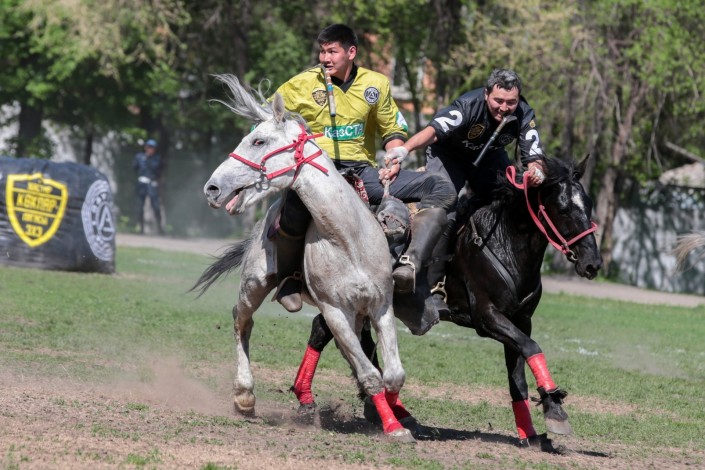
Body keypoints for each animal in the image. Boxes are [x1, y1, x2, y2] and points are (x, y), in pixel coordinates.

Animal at [196, 74, 414, 443]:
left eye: (258, 140)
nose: (212, 188)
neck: (348, 239)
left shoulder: (381, 305)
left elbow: (393, 373)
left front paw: (396, 415)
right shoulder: (335, 311)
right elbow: (371, 375)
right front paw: (393, 425)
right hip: (255, 284)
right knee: (242, 321)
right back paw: (245, 396)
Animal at [289, 155, 603, 447]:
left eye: (588, 205)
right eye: (563, 209)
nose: (593, 263)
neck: (503, 242)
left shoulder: (520, 320)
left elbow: (518, 375)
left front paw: (532, 431)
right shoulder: (488, 318)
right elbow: (532, 348)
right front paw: (554, 408)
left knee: (338, 336)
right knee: (327, 333)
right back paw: (313, 401)